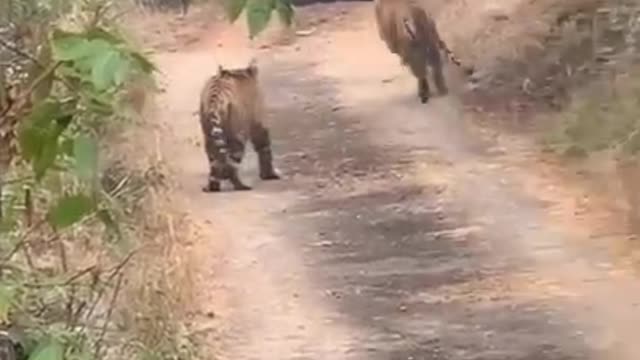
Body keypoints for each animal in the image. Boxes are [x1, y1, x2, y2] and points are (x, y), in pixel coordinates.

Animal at [198, 58, 280, 193]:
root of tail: (216, 96)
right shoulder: (259, 123)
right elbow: (264, 148)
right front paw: (269, 175)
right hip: (238, 136)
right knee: (233, 165)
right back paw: (242, 186)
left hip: (208, 135)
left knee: (213, 160)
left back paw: (212, 187)